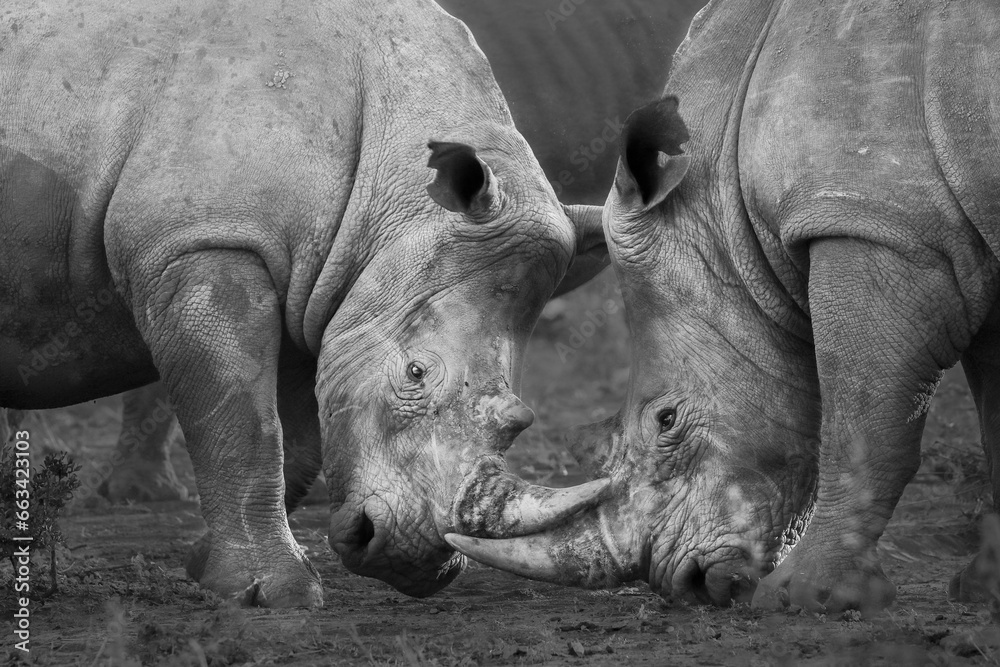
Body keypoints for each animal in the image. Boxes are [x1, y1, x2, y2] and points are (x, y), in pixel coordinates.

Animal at [0, 0, 611, 607]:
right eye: (414, 373)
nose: (415, 562)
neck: (398, 184)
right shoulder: (207, 242)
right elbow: (246, 423)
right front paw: (281, 594)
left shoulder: (316, 287)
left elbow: (299, 435)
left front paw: (209, 568)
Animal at [447, 0, 1000, 613]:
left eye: (666, 420)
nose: (687, 585)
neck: (727, 208)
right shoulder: (960, 236)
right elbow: (994, 420)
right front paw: (983, 588)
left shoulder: (875, 224)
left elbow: (861, 422)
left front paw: (805, 599)